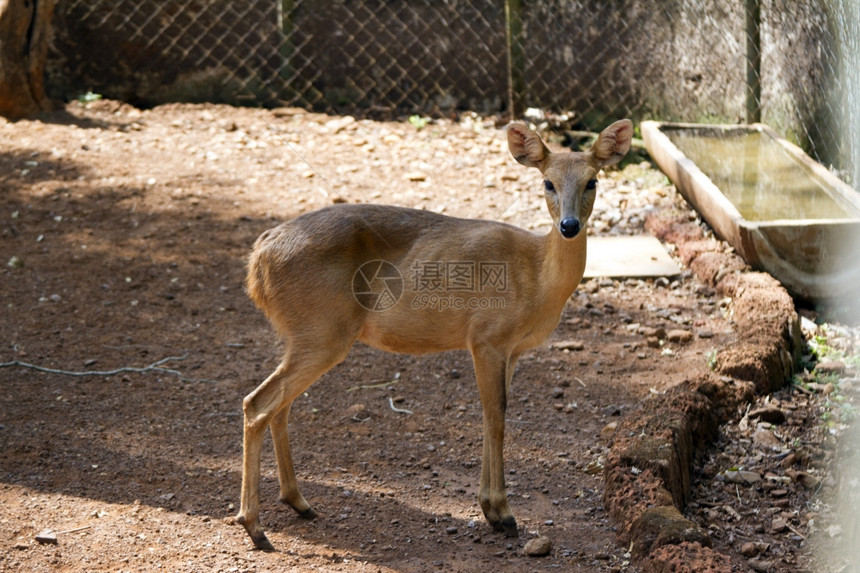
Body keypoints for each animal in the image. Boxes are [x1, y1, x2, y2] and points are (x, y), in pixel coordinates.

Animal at [233, 117, 632, 548]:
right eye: (548, 182)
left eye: (592, 181)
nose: (569, 225)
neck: (537, 277)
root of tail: (258, 257)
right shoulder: (486, 337)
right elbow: (497, 418)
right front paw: (503, 513)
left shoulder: (511, 349)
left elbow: (492, 415)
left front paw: (491, 510)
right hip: (323, 329)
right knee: (258, 403)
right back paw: (254, 525)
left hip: (303, 333)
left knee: (279, 406)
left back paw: (298, 503)